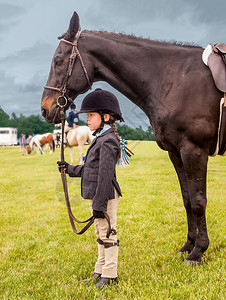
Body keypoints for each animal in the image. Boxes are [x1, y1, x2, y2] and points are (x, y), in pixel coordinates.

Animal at [41, 10, 224, 264]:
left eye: (58, 61)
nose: (45, 109)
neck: (174, 79)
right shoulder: (176, 152)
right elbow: (187, 199)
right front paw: (189, 245)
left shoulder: (194, 150)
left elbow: (198, 201)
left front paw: (198, 252)